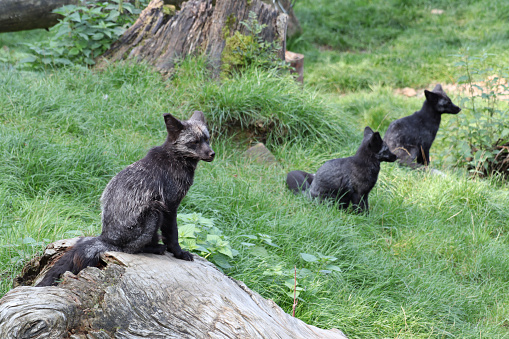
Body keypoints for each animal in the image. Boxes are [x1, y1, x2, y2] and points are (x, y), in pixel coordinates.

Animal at [37, 111, 214, 286]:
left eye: (207, 139)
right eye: (194, 142)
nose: (212, 154)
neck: (174, 159)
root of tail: (106, 238)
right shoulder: (170, 206)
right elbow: (173, 236)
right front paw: (179, 253)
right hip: (155, 211)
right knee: (134, 249)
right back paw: (156, 248)